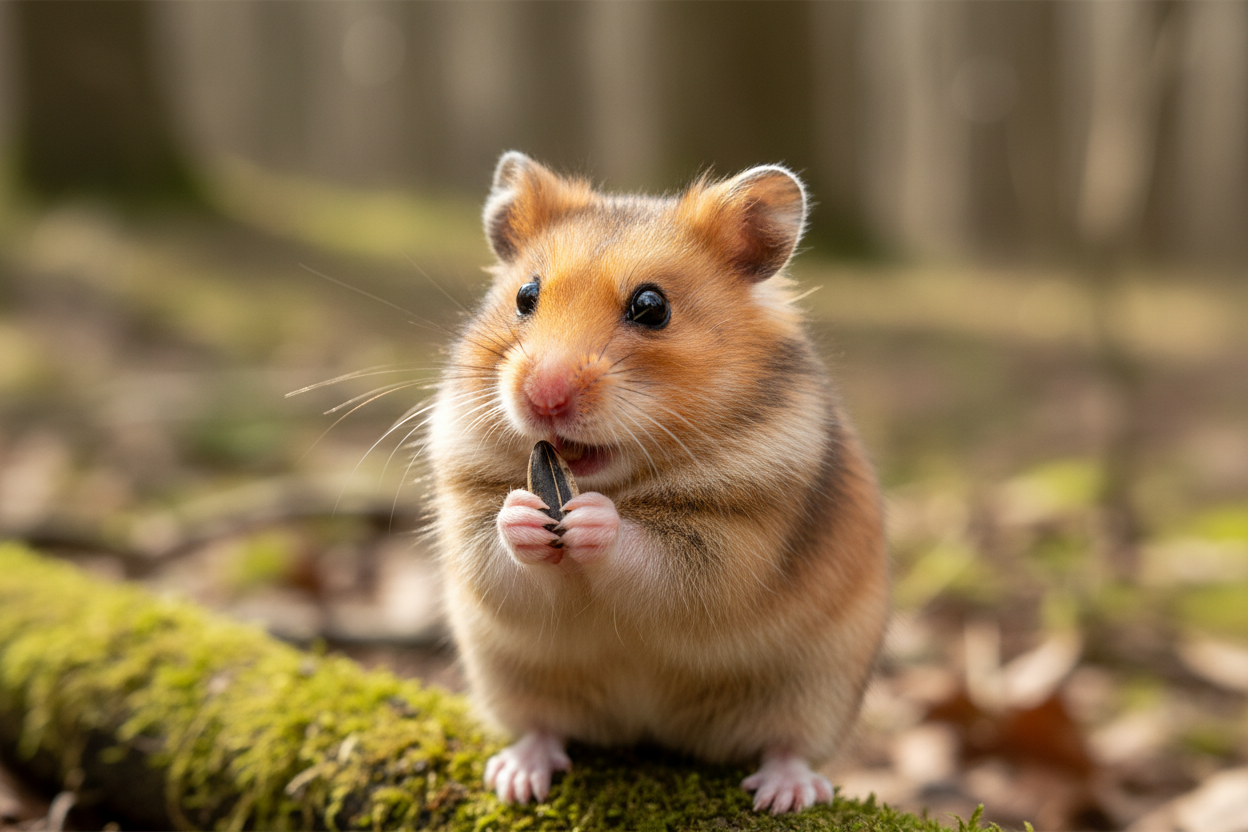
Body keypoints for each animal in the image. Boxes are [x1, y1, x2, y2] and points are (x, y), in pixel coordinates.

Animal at [427, 151, 889, 814]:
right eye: (524, 296)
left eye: (652, 307)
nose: (544, 396)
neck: (617, 480)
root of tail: (650, 729)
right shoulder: (467, 517)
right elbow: (499, 553)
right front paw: (522, 513)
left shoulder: (733, 543)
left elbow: (656, 556)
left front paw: (594, 519)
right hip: (510, 678)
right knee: (543, 726)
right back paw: (517, 776)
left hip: (818, 688)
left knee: (788, 744)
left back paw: (784, 792)